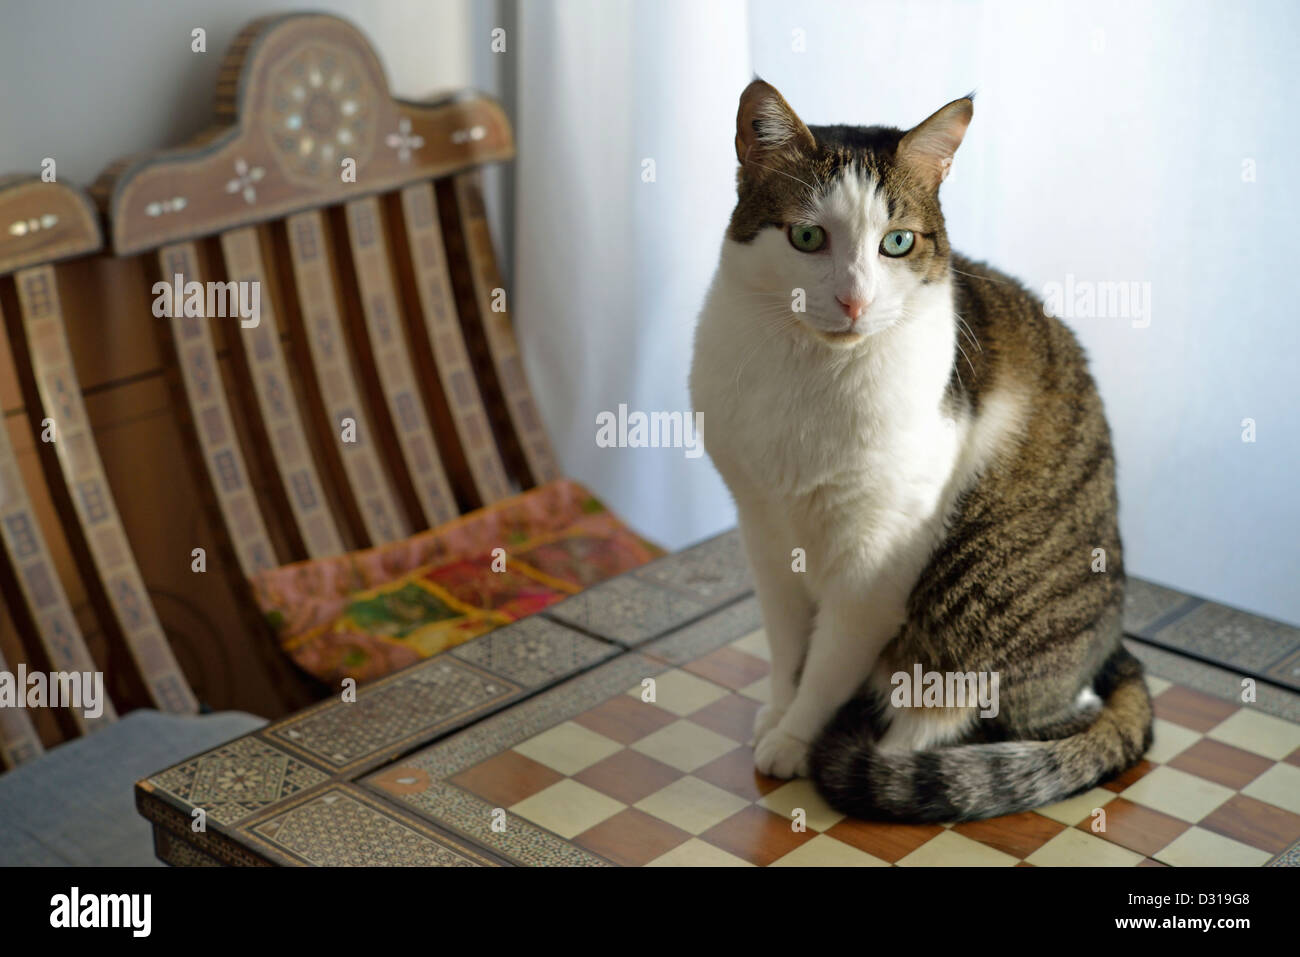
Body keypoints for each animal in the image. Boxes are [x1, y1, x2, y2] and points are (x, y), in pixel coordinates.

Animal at [686, 80, 1154, 821]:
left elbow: (828, 662)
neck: (810, 373)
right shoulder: (762, 528)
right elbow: (787, 646)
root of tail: (1111, 653)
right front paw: (778, 710)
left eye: (898, 242)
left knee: (978, 715)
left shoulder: (875, 560)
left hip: (973, 595)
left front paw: (794, 737)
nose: (854, 300)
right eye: (808, 236)